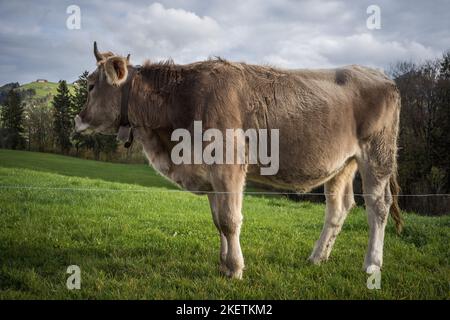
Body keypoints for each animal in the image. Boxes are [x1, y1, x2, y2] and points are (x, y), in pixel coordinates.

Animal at [75, 42, 402, 278]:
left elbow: (230, 220)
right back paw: (317, 257)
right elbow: (218, 221)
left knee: (378, 206)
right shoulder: (208, 172)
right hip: (342, 163)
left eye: (90, 85)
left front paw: (235, 269)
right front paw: (223, 263)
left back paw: (372, 264)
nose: (78, 119)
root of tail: (382, 76)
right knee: (339, 207)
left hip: (377, 154)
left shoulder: (228, 164)